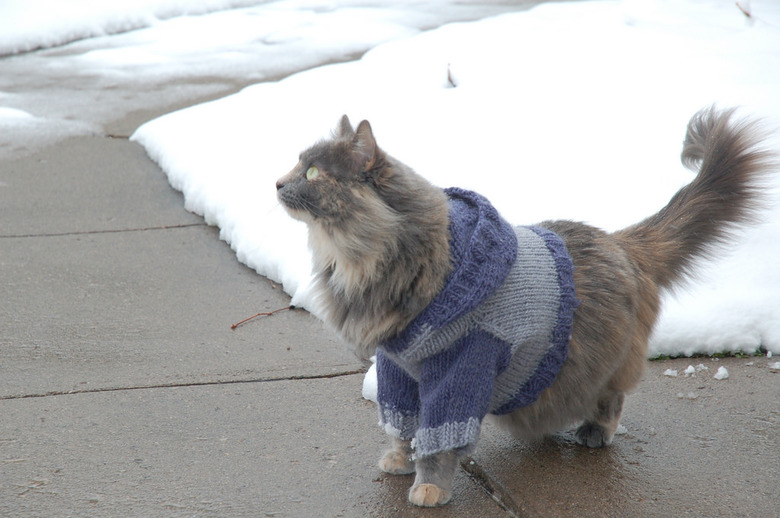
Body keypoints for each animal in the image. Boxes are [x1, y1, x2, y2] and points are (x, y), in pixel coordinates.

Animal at [272, 107, 768, 510]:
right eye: (298, 163)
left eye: (312, 172)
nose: (276, 182)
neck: (361, 260)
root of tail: (620, 240)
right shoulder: (397, 368)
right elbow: (400, 424)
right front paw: (397, 460)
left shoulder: (458, 370)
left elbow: (438, 443)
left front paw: (429, 487)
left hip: (601, 364)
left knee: (613, 396)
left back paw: (595, 432)